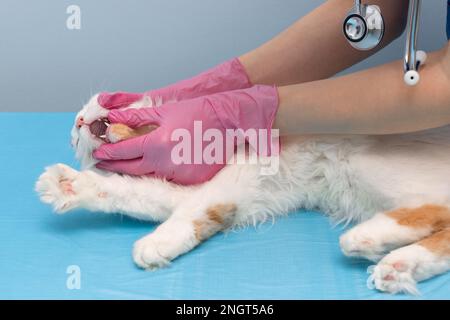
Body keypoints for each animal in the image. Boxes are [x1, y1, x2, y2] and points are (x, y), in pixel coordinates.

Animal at [36, 94, 450, 296]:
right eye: (74, 136)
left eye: (101, 105)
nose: (78, 122)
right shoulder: (188, 189)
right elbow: (132, 192)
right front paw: (69, 185)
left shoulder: (235, 175)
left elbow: (192, 211)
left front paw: (156, 243)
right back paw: (397, 265)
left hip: (367, 164)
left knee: (438, 210)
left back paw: (370, 240)